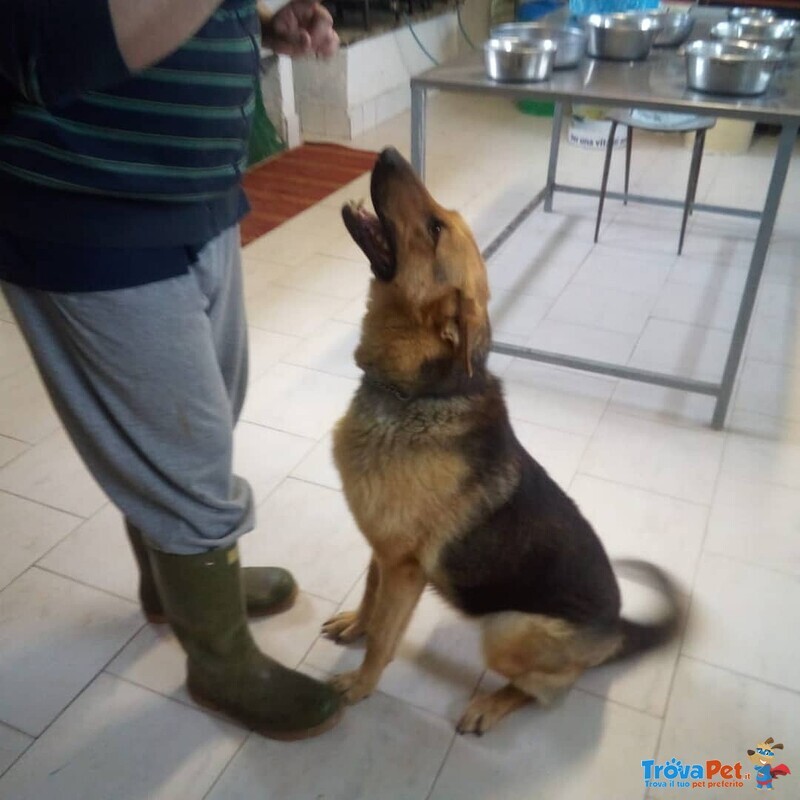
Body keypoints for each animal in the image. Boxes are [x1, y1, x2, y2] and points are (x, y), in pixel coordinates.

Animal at [324, 147, 680, 736]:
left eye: (434, 228)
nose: (390, 152)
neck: (416, 393)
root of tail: (617, 627)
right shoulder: (383, 550)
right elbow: (371, 601)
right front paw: (355, 623)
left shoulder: (405, 569)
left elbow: (383, 639)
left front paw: (360, 684)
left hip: (505, 629)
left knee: (549, 690)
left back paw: (490, 705)